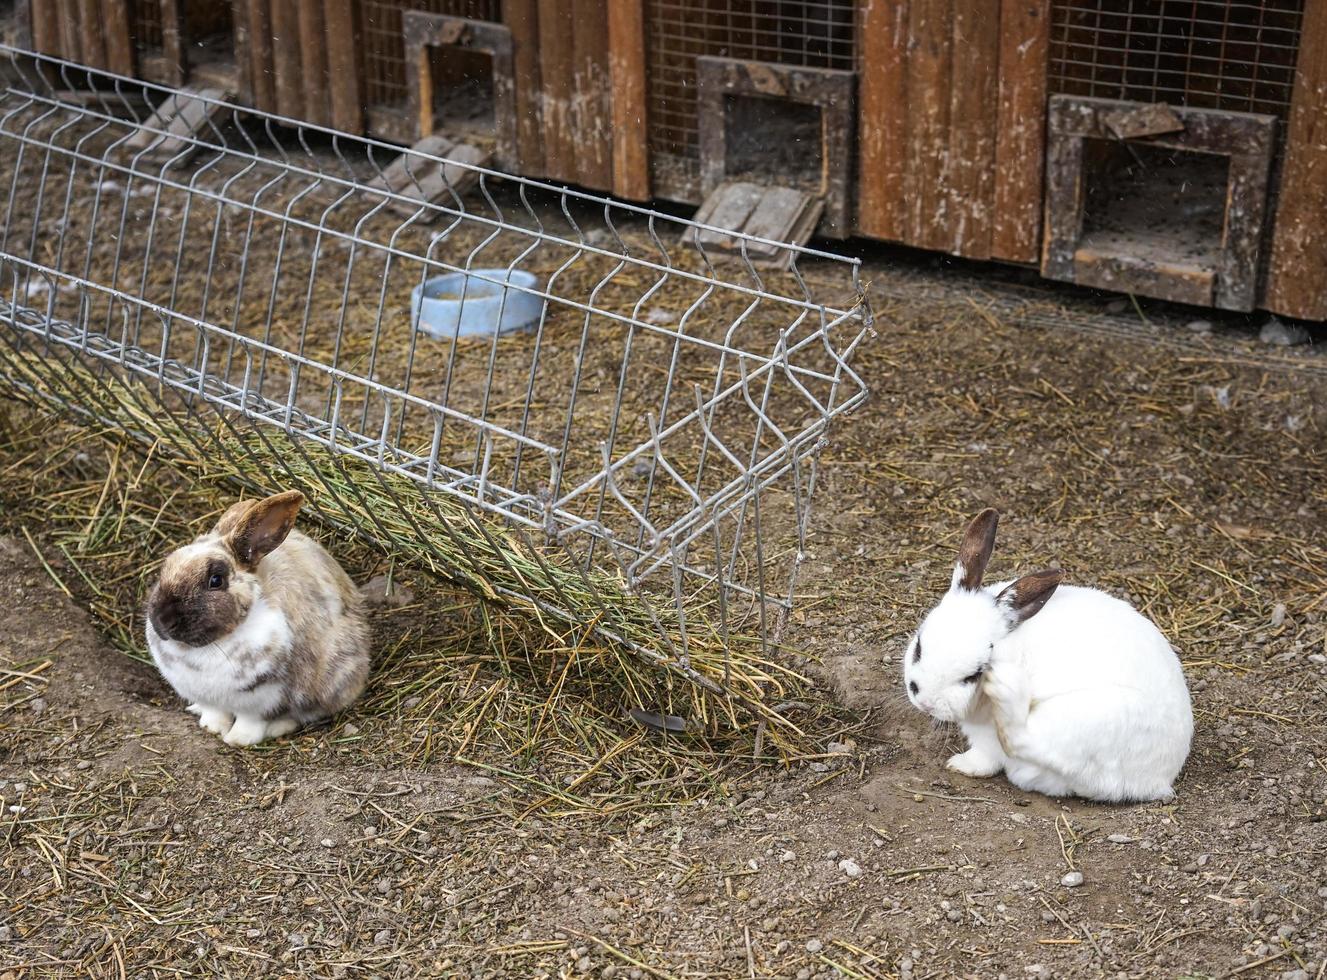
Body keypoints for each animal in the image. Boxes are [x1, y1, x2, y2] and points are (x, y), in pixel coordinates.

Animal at [144, 490, 371, 753]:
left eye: (216, 580)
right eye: (165, 569)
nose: (162, 620)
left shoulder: (263, 701)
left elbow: (251, 723)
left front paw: (237, 740)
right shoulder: (208, 698)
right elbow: (214, 713)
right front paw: (211, 728)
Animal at [902, 509, 1194, 800]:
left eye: (974, 674)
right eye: (919, 647)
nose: (925, 701)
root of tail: (1157, 780)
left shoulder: (988, 736)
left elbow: (989, 757)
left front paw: (961, 764)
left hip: (1084, 720)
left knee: (1024, 740)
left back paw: (1007, 687)